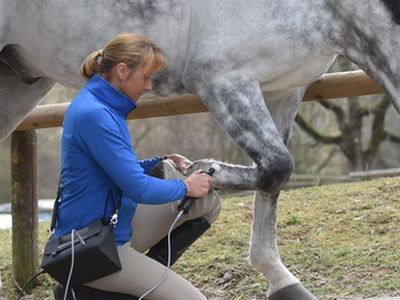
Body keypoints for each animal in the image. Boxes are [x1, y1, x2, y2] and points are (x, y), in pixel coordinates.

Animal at [0, 0, 400, 298]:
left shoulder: (285, 89)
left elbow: (274, 178)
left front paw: (281, 279)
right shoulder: (224, 80)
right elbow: (277, 165)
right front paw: (200, 170)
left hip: (18, 84)